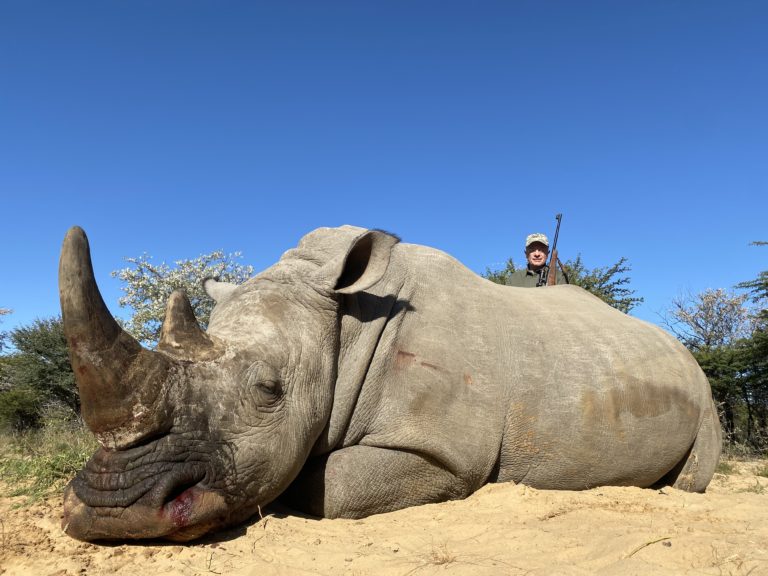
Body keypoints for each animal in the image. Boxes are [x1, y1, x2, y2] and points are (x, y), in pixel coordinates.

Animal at [59, 225, 721, 542]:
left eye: (270, 390)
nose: (113, 514)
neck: (342, 323)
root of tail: (680, 350)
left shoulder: (441, 451)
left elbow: (327, 486)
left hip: (702, 384)